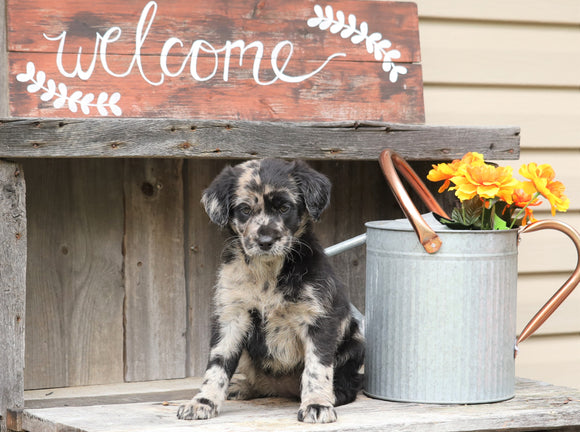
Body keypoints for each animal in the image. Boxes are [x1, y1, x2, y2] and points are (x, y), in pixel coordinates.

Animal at [177, 158, 364, 422]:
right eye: (245, 210)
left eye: (284, 208)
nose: (265, 241)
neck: (267, 272)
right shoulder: (231, 316)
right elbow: (217, 365)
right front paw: (203, 402)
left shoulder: (319, 318)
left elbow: (316, 368)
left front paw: (317, 404)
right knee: (261, 384)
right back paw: (242, 387)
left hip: (356, 343)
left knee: (348, 385)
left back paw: (332, 395)